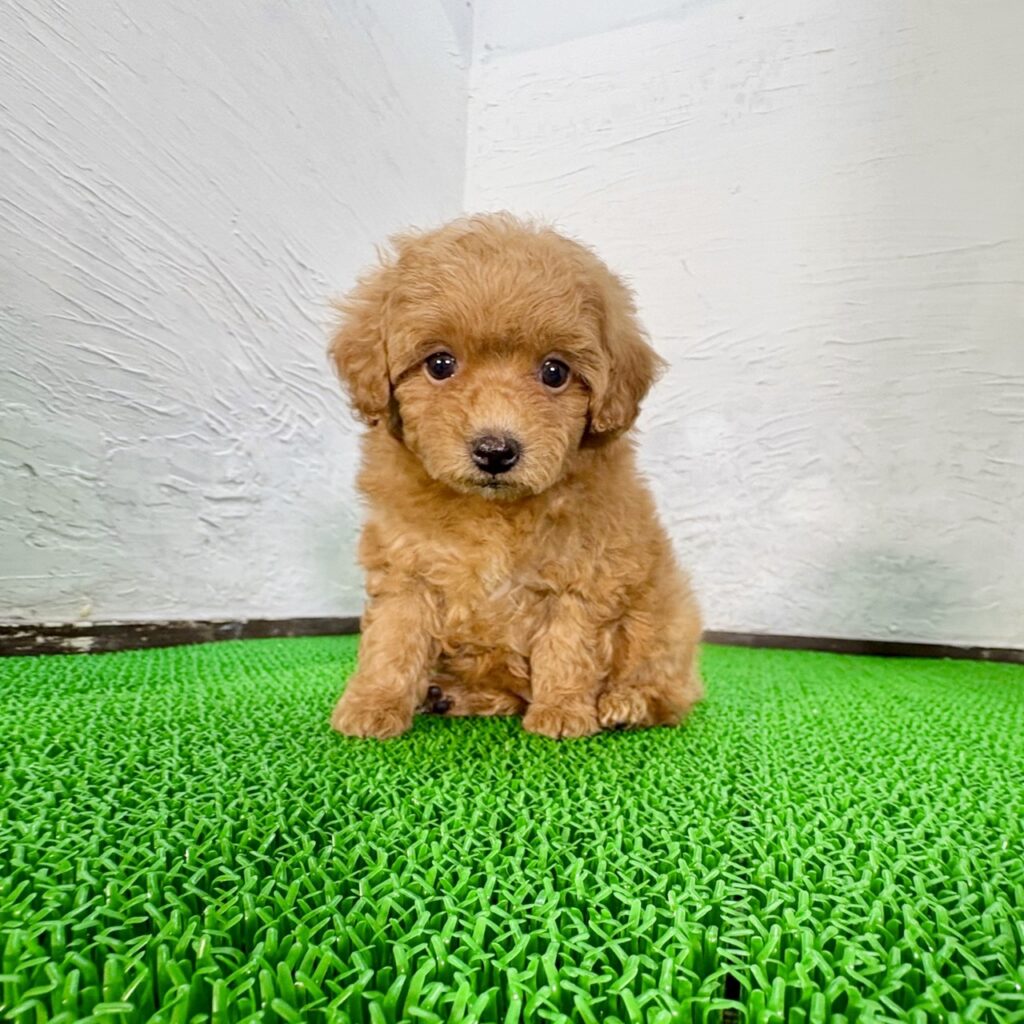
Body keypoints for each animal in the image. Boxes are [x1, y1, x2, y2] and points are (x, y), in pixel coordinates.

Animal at [329, 214, 703, 739]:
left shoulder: (584, 574)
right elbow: (393, 641)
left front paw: (563, 712)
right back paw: (451, 695)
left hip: (666, 622)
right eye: (440, 364)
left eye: (555, 372)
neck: (491, 513)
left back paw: (627, 703)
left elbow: (568, 645)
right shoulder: (406, 568)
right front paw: (373, 705)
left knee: (669, 690)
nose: (495, 451)